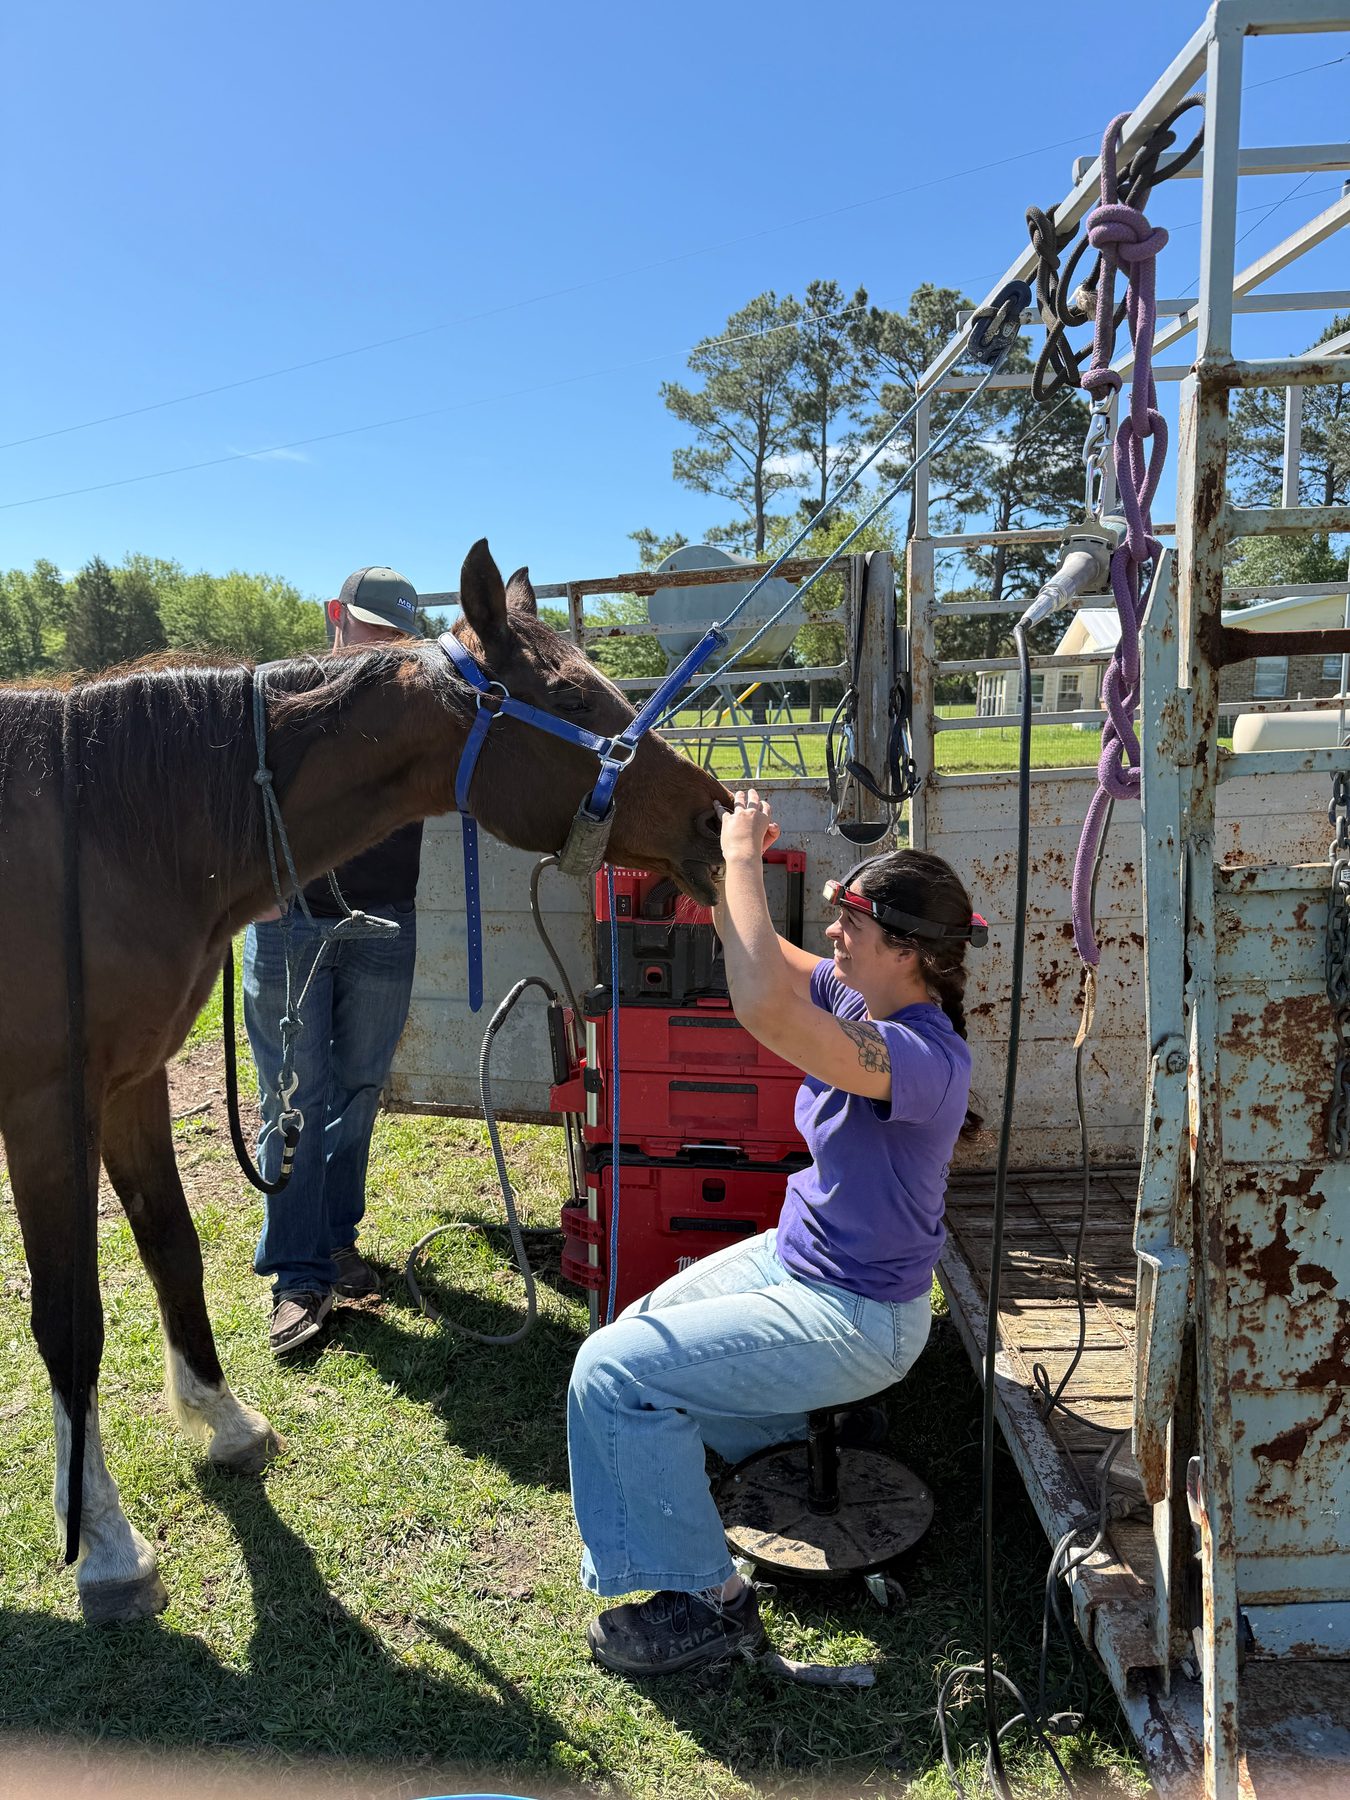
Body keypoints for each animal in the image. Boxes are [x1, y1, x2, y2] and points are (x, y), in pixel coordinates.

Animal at [0, 538, 729, 1625]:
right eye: (570, 696)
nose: (717, 815)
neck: (102, 837)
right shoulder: (49, 1107)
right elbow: (68, 1320)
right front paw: (105, 1548)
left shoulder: (131, 1083)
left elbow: (172, 1247)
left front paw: (223, 1422)